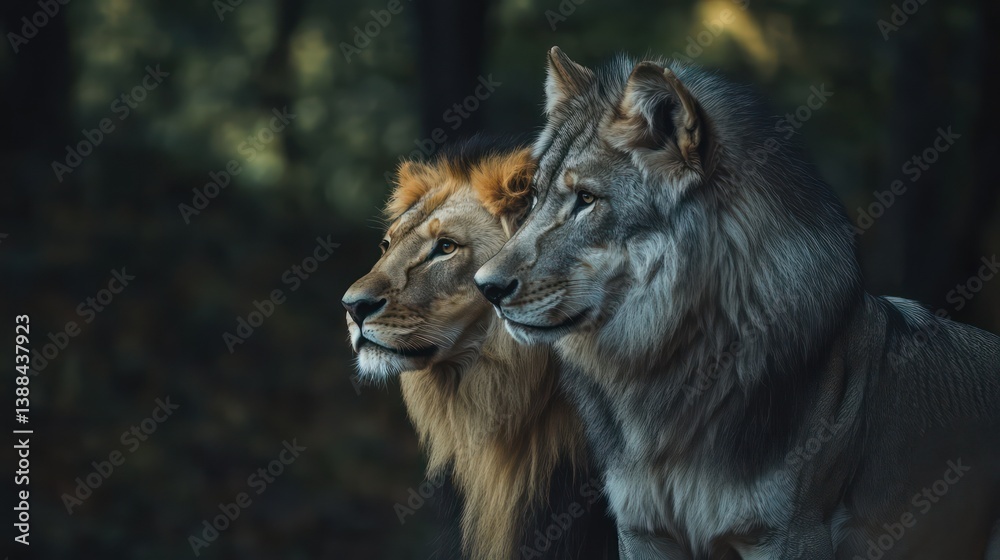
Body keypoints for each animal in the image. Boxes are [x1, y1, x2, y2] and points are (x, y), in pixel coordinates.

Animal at [475, 49, 1000, 559]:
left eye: (586, 199)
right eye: (535, 196)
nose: (486, 287)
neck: (671, 372)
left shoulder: (786, 535)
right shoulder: (643, 532)